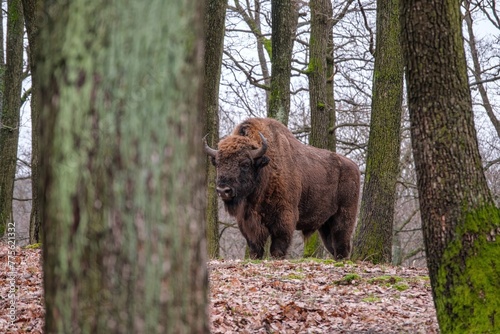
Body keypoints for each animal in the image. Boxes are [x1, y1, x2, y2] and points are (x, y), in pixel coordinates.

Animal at [203, 118, 360, 260]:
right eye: (217, 163)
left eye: (245, 164)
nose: (223, 190)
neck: (265, 170)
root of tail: (354, 167)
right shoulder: (247, 222)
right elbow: (255, 246)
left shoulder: (284, 217)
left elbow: (278, 245)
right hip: (325, 223)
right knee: (332, 245)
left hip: (343, 217)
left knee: (341, 242)